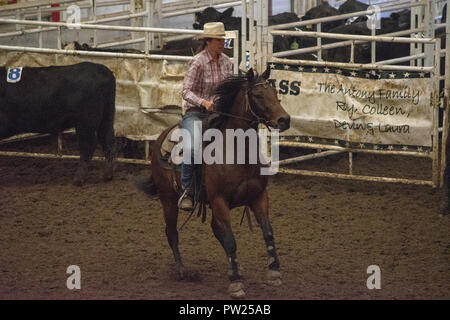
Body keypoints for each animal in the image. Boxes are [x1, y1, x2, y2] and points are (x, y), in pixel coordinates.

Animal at [150, 67, 292, 298]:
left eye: (274, 91)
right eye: (257, 95)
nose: (284, 120)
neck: (238, 153)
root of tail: (161, 137)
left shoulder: (259, 196)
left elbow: (268, 232)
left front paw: (274, 272)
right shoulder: (219, 201)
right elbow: (231, 240)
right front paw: (235, 284)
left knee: (216, 230)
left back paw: (235, 267)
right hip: (168, 199)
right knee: (172, 233)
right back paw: (182, 270)